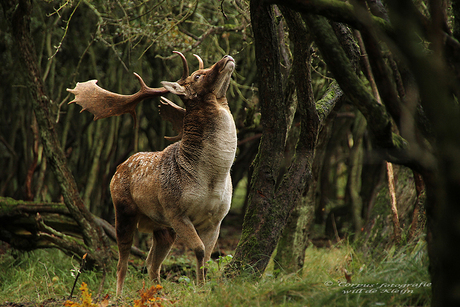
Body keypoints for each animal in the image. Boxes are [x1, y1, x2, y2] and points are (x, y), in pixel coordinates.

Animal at [67, 53, 237, 296]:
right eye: (197, 76)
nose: (226, 57)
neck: (212, 178)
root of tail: (118, 168)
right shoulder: (176, 211)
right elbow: (199, 250)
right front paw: (199, 289)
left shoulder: (216, 219)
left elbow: (206, 256)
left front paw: (202, 289)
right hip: (124, 211)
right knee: (122, 261)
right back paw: (119, 296)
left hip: (162, 228)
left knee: (151, 262)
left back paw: (157, 293)